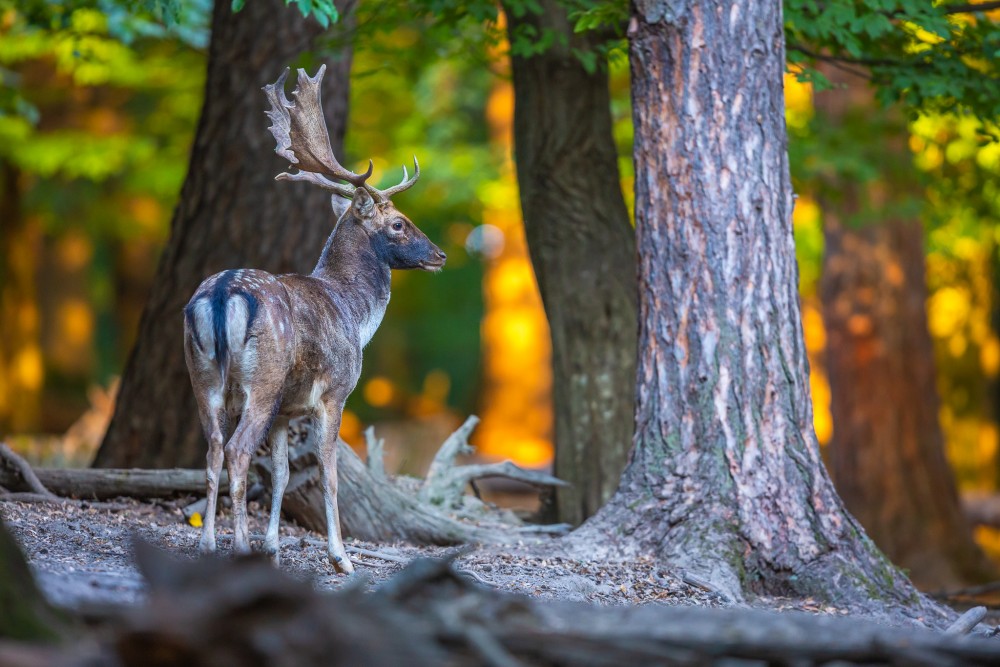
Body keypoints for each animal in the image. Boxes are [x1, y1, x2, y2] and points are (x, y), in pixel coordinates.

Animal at [183, 68, 446, 576]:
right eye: (399, 223)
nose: (440, 255)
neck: (354, 314)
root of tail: (224, 293)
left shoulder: (288, 410)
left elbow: (284, 474)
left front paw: (273, 546)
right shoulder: (334, 393)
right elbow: (328, 473)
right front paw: (340, 557)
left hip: (201, 375)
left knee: (213, 449)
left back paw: (207, 547)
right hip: (262, 381)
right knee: (238, 451)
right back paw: (237, 549)